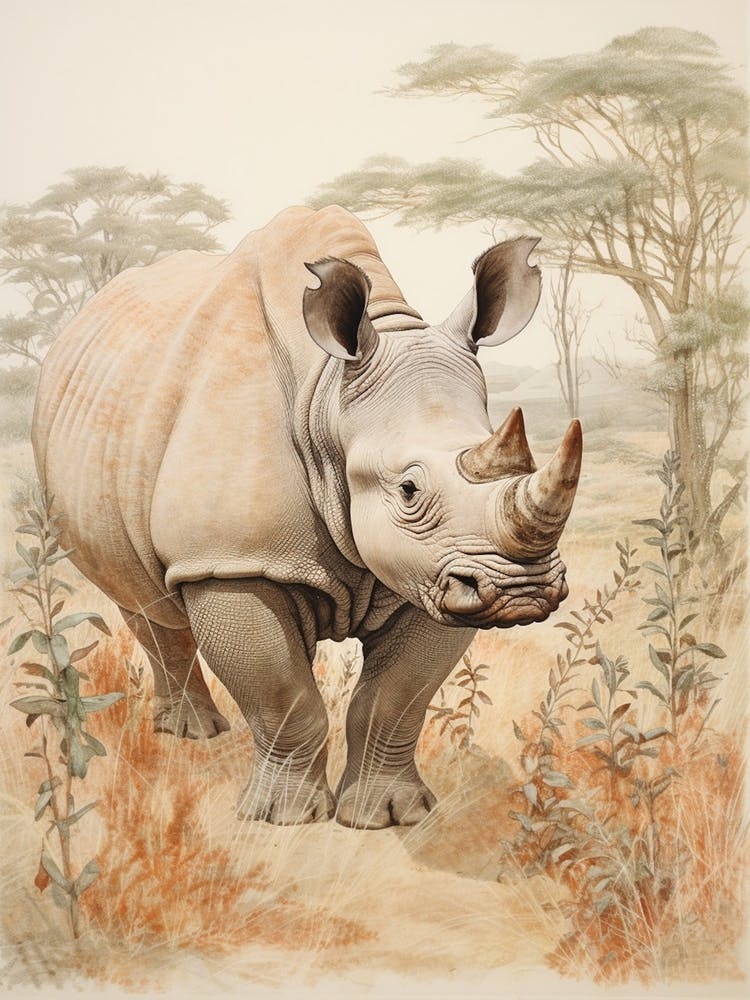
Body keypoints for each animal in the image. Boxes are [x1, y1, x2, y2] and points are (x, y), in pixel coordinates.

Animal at [32, 205, 581, 829]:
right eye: (409, 490)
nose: (523, 591)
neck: (330, 399)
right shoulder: (230, 560)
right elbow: (283, 697)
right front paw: (283, 820)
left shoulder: (438, 568)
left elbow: (395, 699)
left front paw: (391, 817)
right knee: (141, 600)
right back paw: (193, 736)